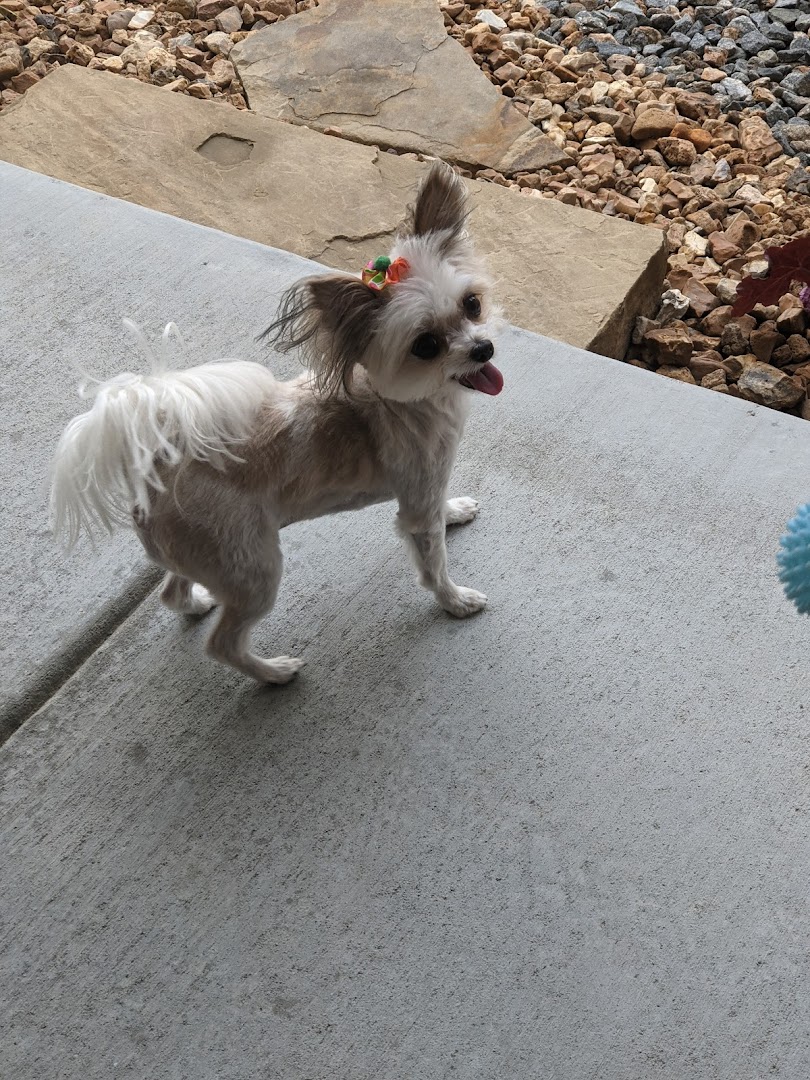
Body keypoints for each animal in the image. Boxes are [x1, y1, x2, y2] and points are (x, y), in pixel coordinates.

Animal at [50, 163, 505, 678]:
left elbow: (442, 508)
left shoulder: (428, 488)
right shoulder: (417, 506)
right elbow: (434, 565)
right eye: (426, 345)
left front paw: (456, 511)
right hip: (253, 569)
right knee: (223, 644)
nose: (483, 348)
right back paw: (273, 673)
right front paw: (456, 602)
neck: (413, 400)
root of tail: (157, 467)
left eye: (472, 304)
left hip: (206, 560)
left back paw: (195, 604)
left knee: (171, 591)